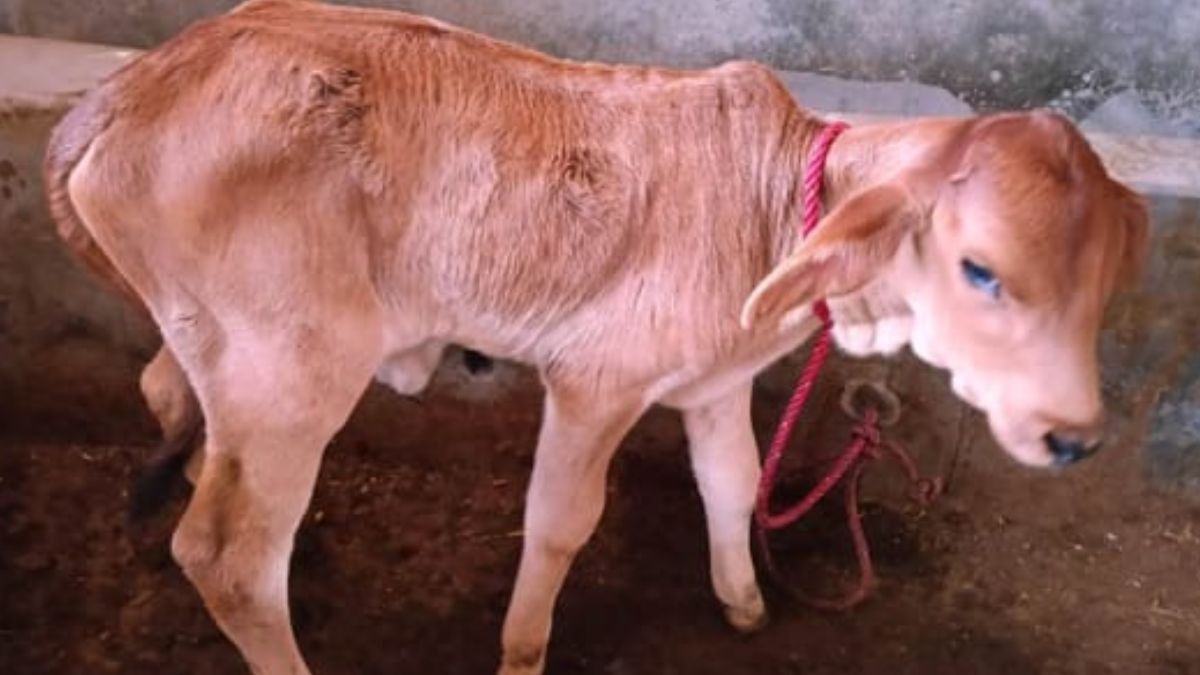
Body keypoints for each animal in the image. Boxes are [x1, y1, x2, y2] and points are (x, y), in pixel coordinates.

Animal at [42, 0, 1147, 673]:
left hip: (218, 343)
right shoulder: (596, 382)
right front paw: (523, 649)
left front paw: (745, 605)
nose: (1072, 435)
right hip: (294, 361)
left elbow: (732, 482)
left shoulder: (715, 381)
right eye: (981, 269)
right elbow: (561, 522)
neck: (770, 208)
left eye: (1103, 283)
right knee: (225, 550)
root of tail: (128, 88)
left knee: (172, 406)